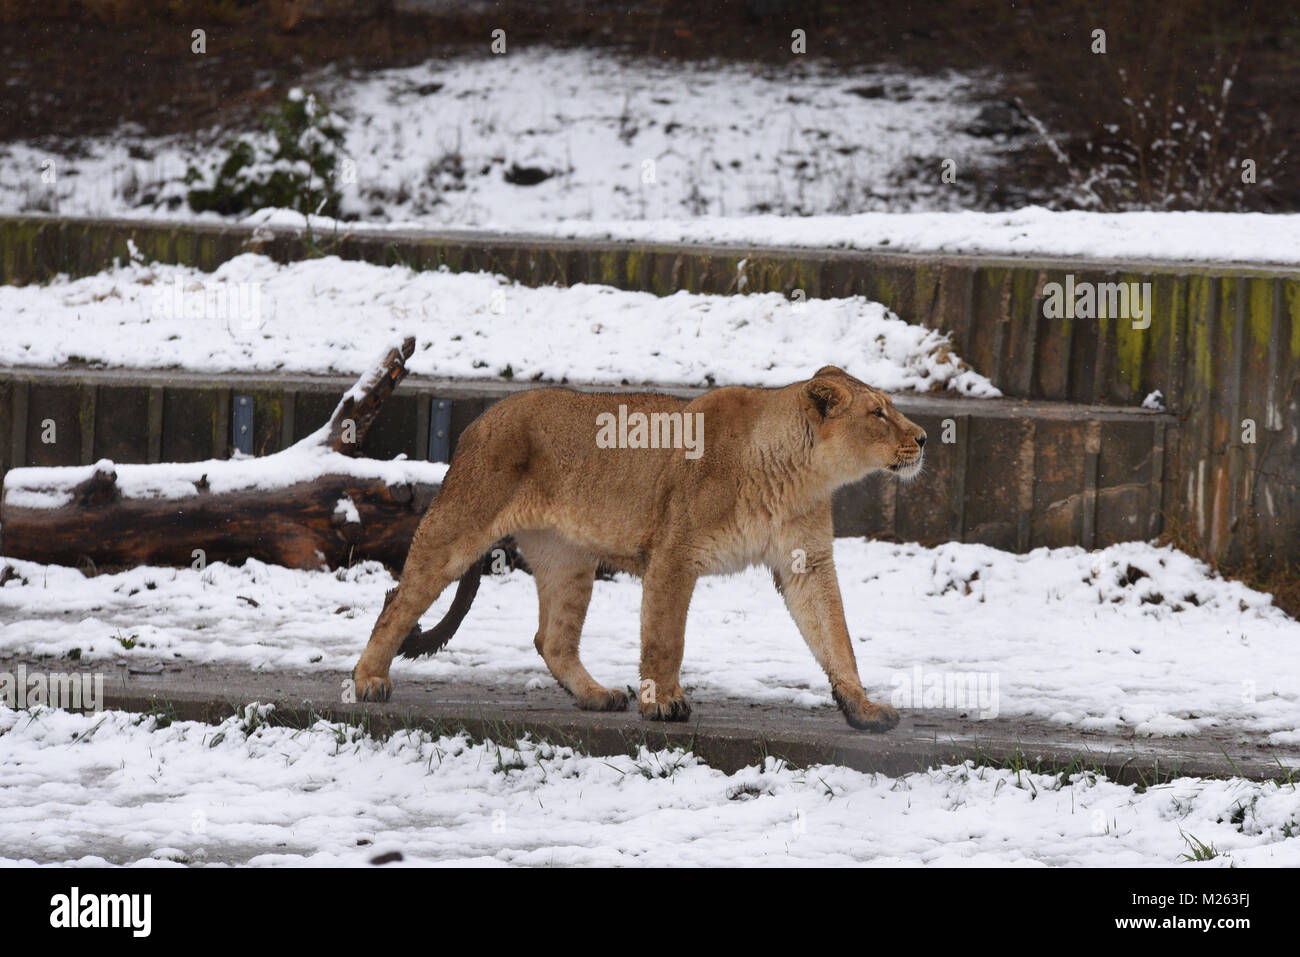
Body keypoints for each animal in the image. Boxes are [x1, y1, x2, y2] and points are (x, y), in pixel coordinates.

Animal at [351, 365, 927, 732]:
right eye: (879, 413)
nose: (923, 437)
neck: (799, 475)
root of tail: (478, 421)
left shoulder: (806, 563)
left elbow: (835, 636)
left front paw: (862, 708)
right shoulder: (674, 554)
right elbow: (665, 638)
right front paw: (665, 704)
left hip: (569, 559)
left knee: (551, 639)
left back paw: (597, 696)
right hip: (458, 524)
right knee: (398, 601)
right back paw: (368, 681)